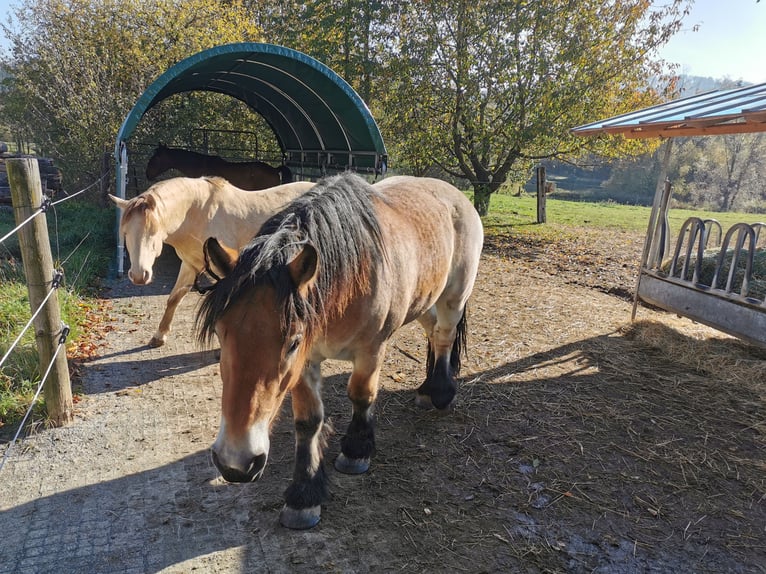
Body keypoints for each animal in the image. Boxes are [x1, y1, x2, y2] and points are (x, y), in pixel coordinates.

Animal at [109, 177, 316, 346]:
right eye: (125, 233)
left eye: (153, 232)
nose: (139, 275)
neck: (197, 215)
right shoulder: (190, 265)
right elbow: (174, 298)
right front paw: (159, 336)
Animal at [198, 172, 486, 532]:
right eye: (221, 335)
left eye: (292, 342)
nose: (235, 463)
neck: (349, 279)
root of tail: (453, 194)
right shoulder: (307, 363)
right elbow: (308, 420)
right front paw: (304, 495)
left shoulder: (369, 351)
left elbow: (361, 395)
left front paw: (356, 451)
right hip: (424, 300)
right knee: (432, 331)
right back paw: (426, 389)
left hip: (454, 296)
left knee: (444, 335)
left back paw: (441, 392)